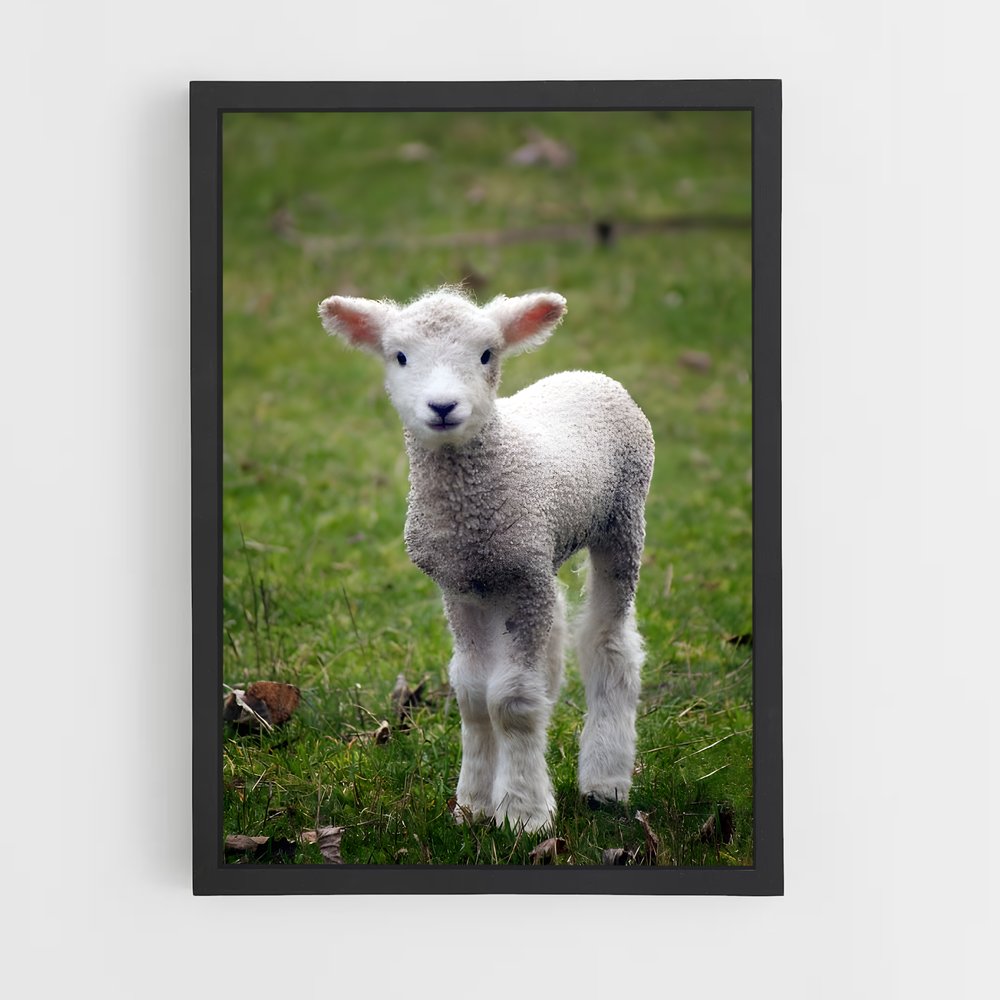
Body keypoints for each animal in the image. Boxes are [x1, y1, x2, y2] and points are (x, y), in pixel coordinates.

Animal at [318, 286, 654, 833]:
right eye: (400, 356)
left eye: (485, 354)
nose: (442, 406)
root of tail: (589, 375)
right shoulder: (461, 586)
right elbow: (475, 696)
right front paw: (472, 804)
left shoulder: (522, 581)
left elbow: (512, 702)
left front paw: (522, 813)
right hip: (537, 555)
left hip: (622, 518)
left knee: (609, 642)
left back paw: (605, 782)